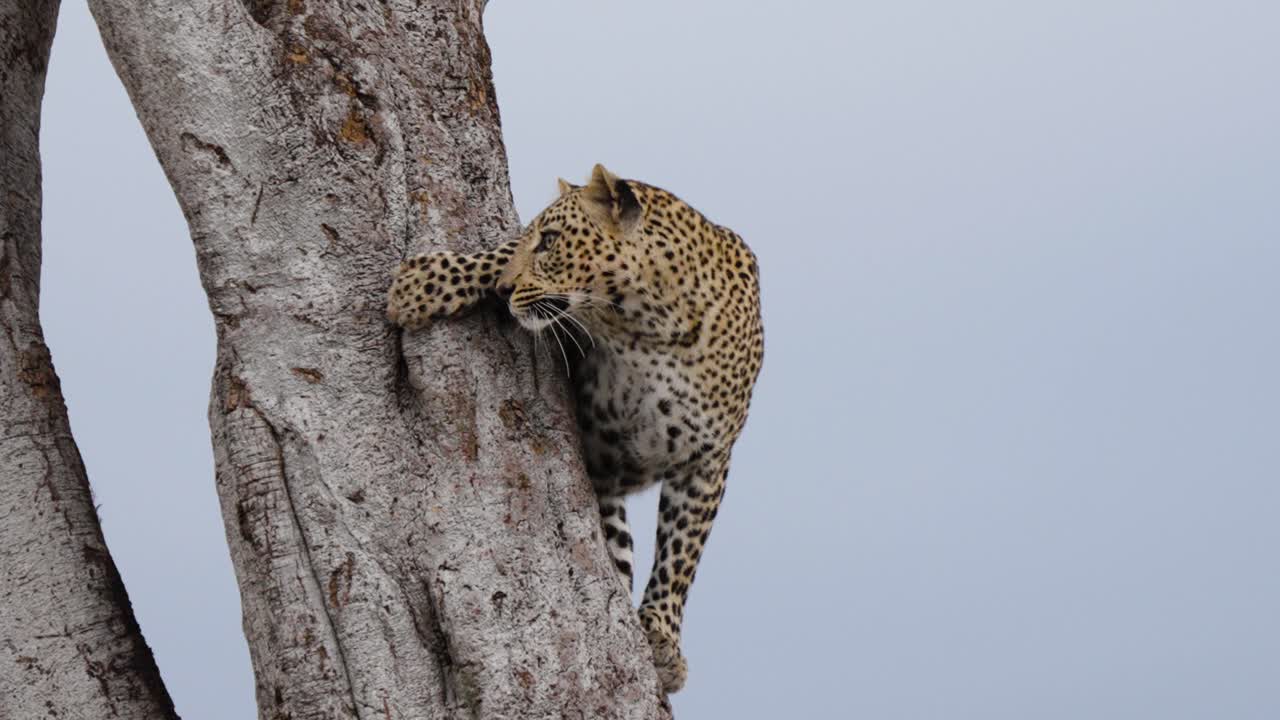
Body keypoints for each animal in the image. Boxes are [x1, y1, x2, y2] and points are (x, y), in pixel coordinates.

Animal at [387, 164, 763, 694]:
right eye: (533, 236)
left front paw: (663, 635)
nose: (504, 291)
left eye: (549, 240)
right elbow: (497, 253)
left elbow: (682, 552)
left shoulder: (707, 458)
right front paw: (428, 283)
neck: (648, 326)